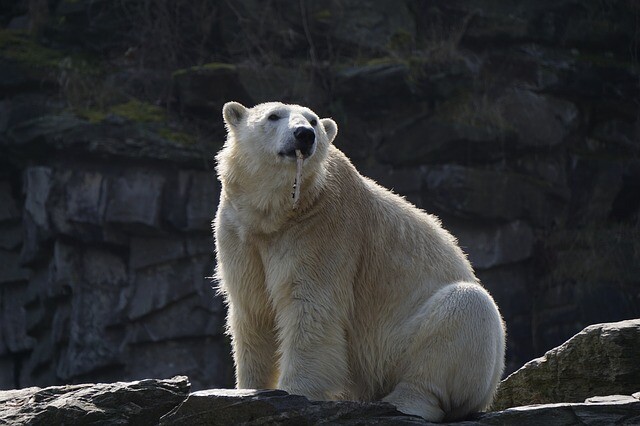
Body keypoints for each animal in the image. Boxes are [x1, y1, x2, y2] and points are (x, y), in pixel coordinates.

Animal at [215, 100, 504, 422]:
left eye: (313, 121)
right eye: (273, 116)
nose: (304, 135)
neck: (276, 215)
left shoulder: (323, 228)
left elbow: (310, 308)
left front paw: (295, 392)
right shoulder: (240, 232)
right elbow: (253, 309)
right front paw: (249, 389)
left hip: (400, 343)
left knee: (466, 309)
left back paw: (404, 401)